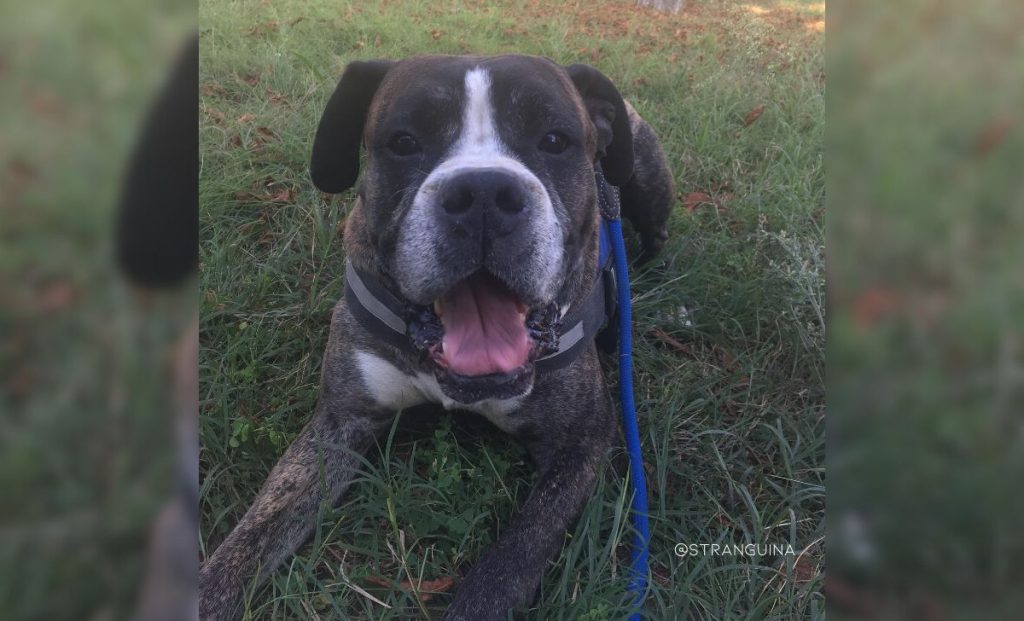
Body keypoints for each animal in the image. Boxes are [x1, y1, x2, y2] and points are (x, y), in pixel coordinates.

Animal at [200, 54, 675, 621]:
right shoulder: (340, 423)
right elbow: (255, 535)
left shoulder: (580, 444)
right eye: (405, 142)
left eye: (555, 140)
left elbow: (513, 557)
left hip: (646, 177)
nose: (485, 194)